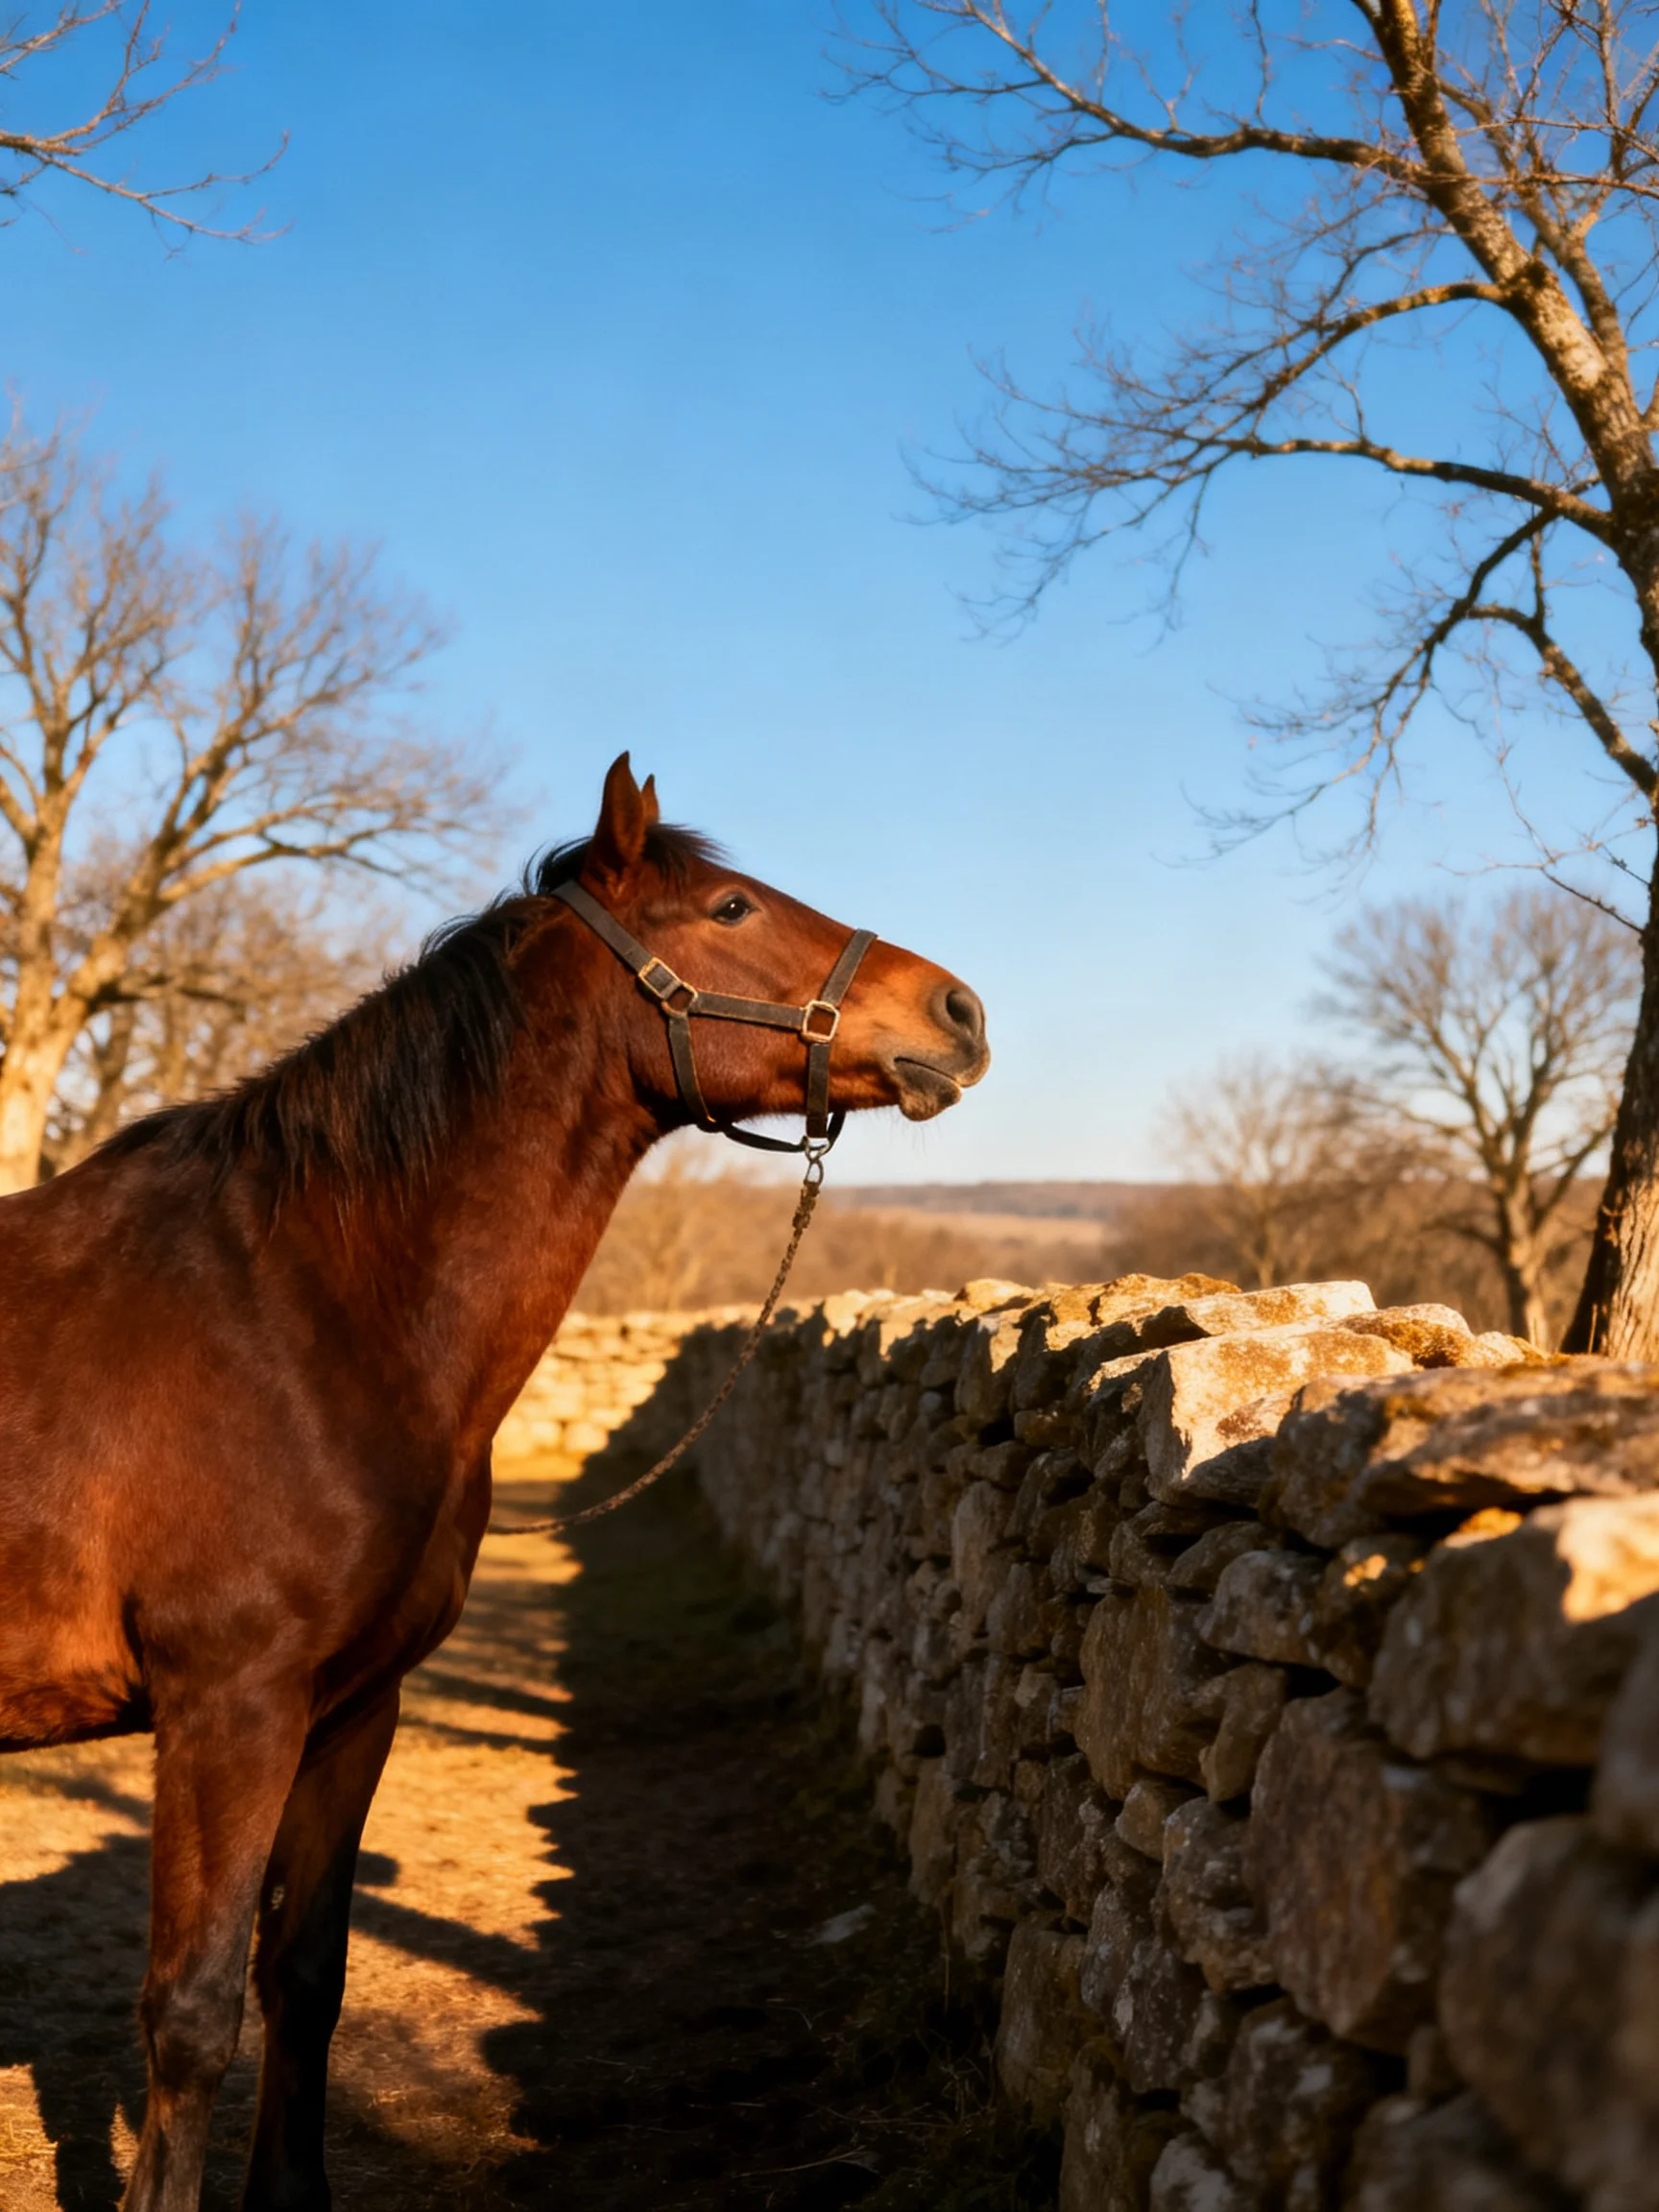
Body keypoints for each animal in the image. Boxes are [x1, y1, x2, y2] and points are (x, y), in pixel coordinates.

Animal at [0, 754, 988, 2212]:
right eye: (732, 907)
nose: (959, 1012)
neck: (302, 1308)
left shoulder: (353, 1710)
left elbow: (303, 1977)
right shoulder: (226, 1708)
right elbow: (189, 2013)